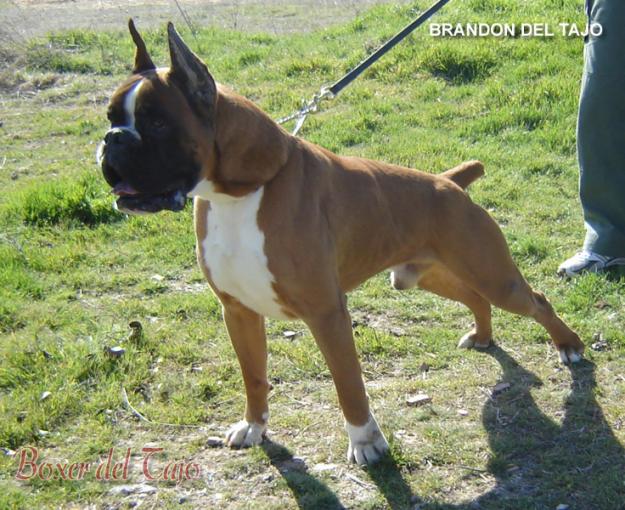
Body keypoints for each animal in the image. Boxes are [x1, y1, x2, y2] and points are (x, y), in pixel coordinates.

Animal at [95, 19, 584, 466]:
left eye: (158, 123)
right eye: (111, 117)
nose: (111, 140)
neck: (240, 194)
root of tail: (448, 182)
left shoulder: (326, 313)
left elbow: (349, 385)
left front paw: (366, 442)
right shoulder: (238, 312)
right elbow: (254, 376)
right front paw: (254, 426)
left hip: (494, 275)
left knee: (535, 300)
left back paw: (570, 347)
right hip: (419, 276)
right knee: (474, 298)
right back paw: (482, 336)